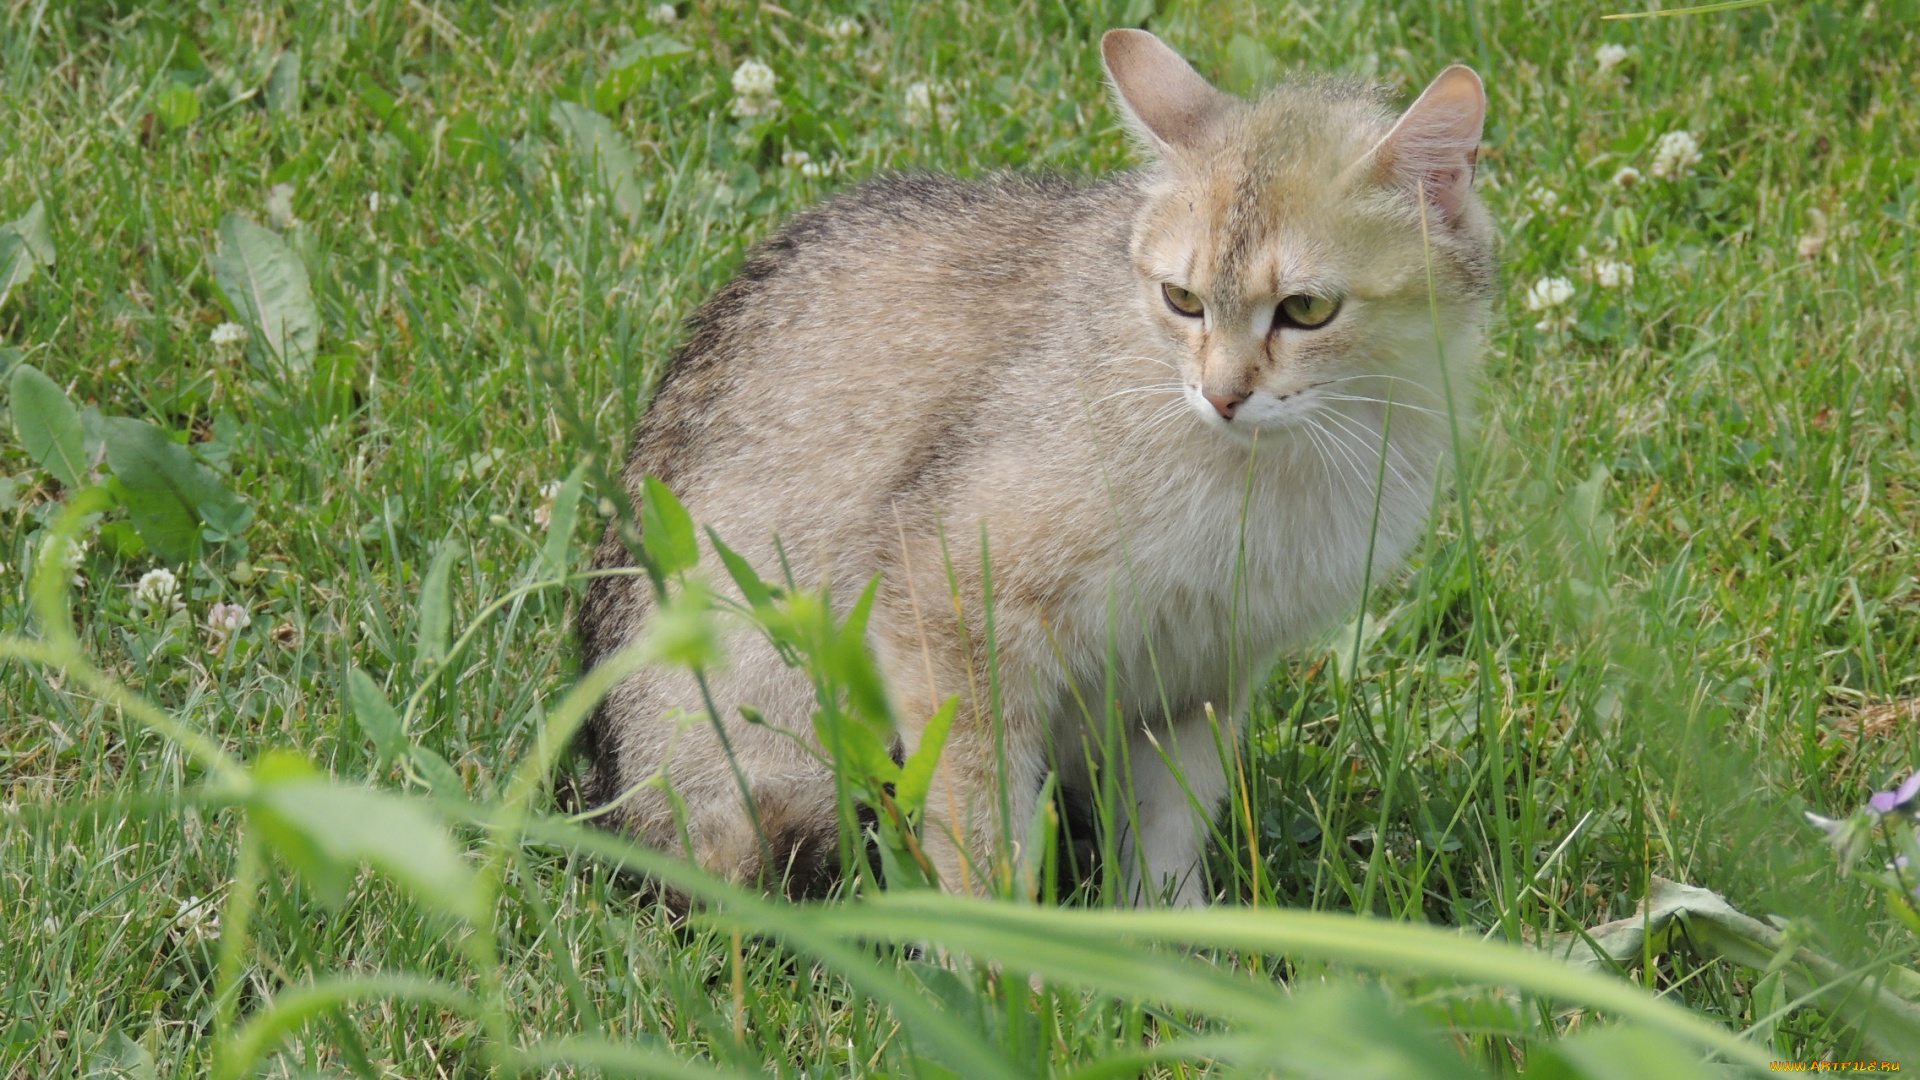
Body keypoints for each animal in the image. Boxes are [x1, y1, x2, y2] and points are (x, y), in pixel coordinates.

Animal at [576, 25, 1489, 903]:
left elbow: (1168, 835)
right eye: (1181, 299)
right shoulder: (944, 609)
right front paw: (1003, 950)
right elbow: (981, 837)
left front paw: (1177, 939)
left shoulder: (1198, 675)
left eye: (1306, 309)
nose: (1222, 395)